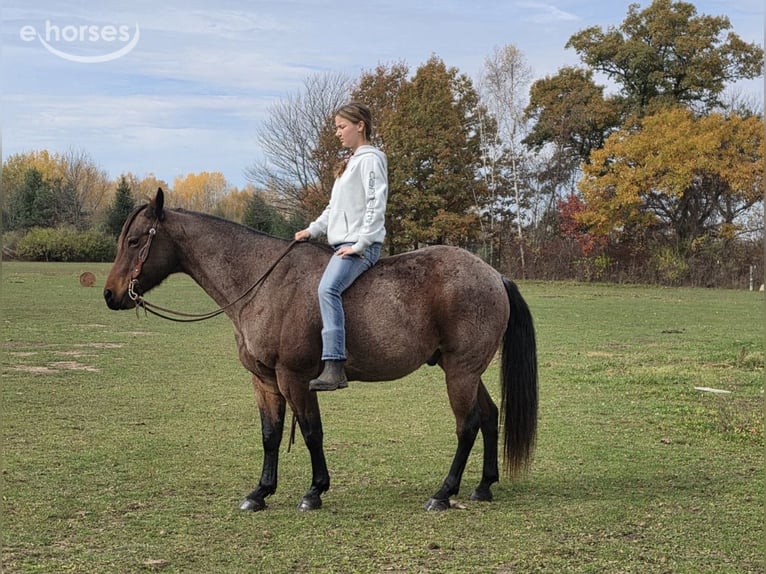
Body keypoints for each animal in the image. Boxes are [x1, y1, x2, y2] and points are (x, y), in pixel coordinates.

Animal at [103, 188, 538, 512]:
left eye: (135, 240)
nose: (110, 294)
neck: (264, 283)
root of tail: (493, 275)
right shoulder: (264, 381)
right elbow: (271, 434)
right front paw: (260, 492)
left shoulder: (294, 377)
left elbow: (312, 432)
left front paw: (314, 491)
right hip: (465, 371)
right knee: (489, 417)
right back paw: (483, 486)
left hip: (460, 372)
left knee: (467, 425)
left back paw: (443, 493)